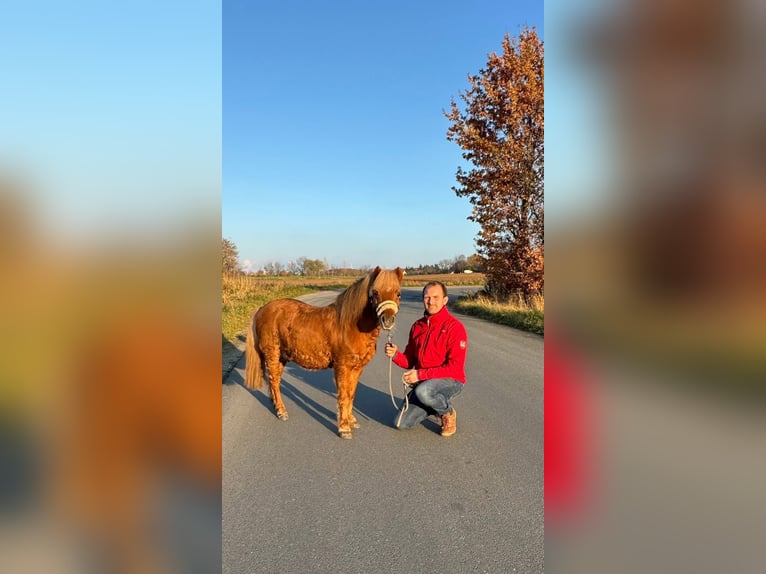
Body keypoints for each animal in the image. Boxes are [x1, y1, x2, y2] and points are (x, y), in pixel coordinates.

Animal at [245, 266, 403, 438]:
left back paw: (276, 406)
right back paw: (281, 411)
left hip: (282, 357)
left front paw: (351, 420)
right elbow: (343, 395)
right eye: (375, 292)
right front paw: (344, 428)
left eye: (398, 293)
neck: (350, 326)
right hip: (272, 354)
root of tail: (262, 309)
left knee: (276, 382)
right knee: (274, 381)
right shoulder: (342, 367)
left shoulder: (357, 368)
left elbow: (351, 394)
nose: (387, 320)